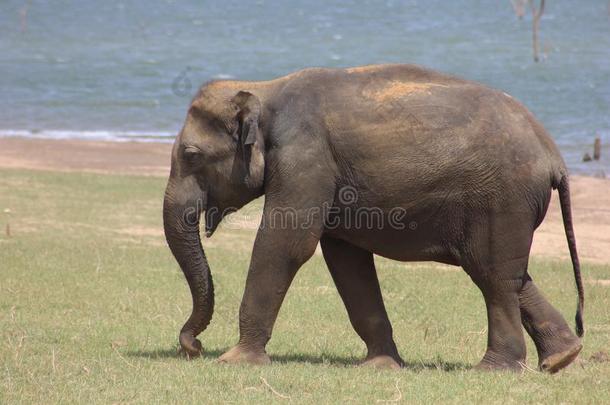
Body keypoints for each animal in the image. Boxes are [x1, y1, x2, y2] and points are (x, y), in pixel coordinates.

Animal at [164, 64, 580, 372]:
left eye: (190, 155)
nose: (192, 346)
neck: (263, 89)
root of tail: (554, 158)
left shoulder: (305, 157)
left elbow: (285, 244)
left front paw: (234, 361)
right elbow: (346, 260)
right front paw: (381, 366)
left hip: (501, 198)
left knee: (492, 275)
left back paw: (495, 369)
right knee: (507, 272)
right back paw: (561, 358)